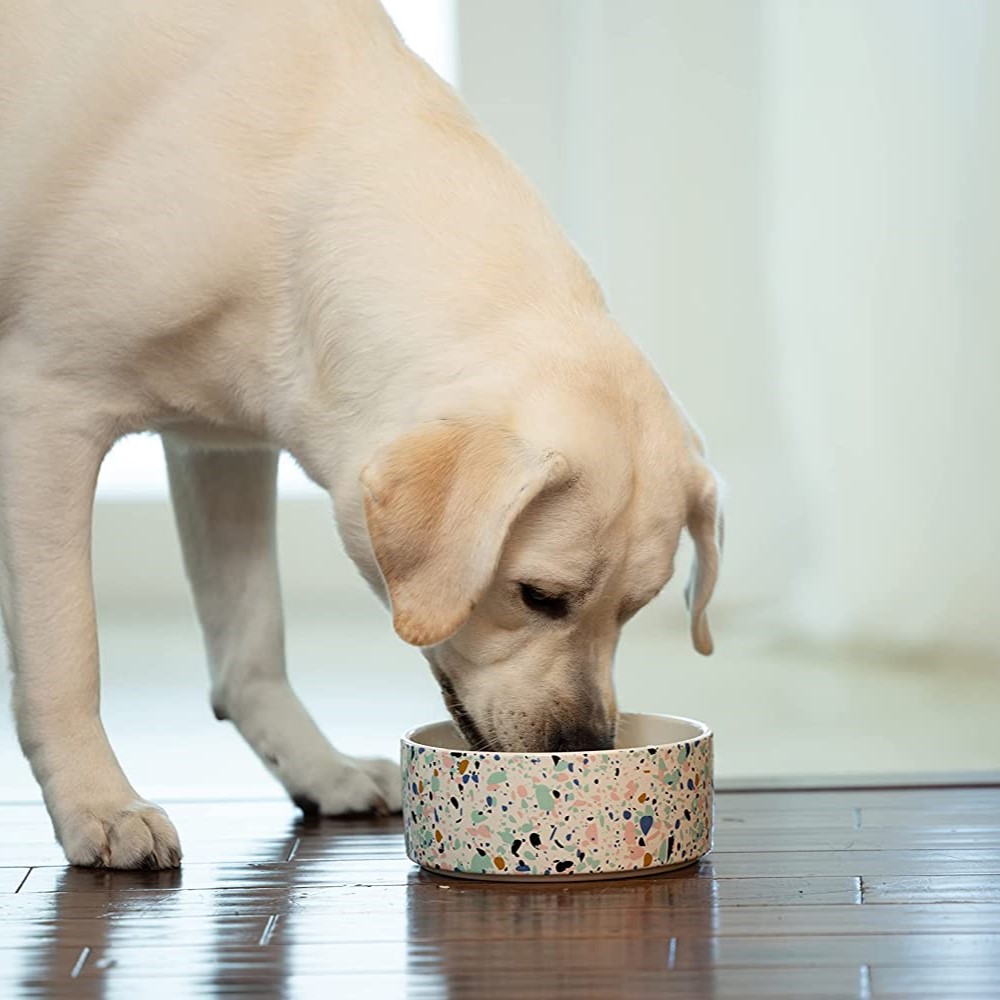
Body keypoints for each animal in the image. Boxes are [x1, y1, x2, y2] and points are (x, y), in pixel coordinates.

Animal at [0, 0, 723, 869]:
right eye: (536, 597)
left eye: (634, 611)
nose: (583, 747)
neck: (290, 195)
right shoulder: (47, 408)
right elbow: (66, 653)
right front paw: (99, 802)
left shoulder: (221, 447)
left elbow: (252, 645)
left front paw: (315, 767)